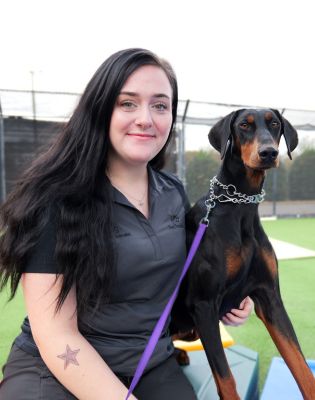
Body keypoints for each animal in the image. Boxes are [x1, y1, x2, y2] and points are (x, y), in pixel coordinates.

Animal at [172, 109, 315, 400]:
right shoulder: (204, 305)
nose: (269, 152)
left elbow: (300, 365)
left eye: (275, 124)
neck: (241, 207)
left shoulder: (270, 298)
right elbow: (226, 379)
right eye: (244, 126)